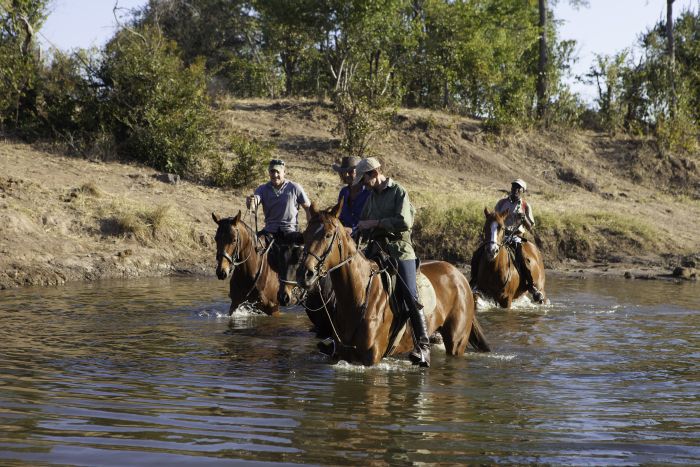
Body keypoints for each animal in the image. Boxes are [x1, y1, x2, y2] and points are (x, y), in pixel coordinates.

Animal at [294, 203, 486, 368]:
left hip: (457, 342)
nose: (304, 274)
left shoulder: (371, 359)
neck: (358, 296)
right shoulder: (342, 355)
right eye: (305, 235)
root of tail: (460, 276)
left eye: (327, 235)